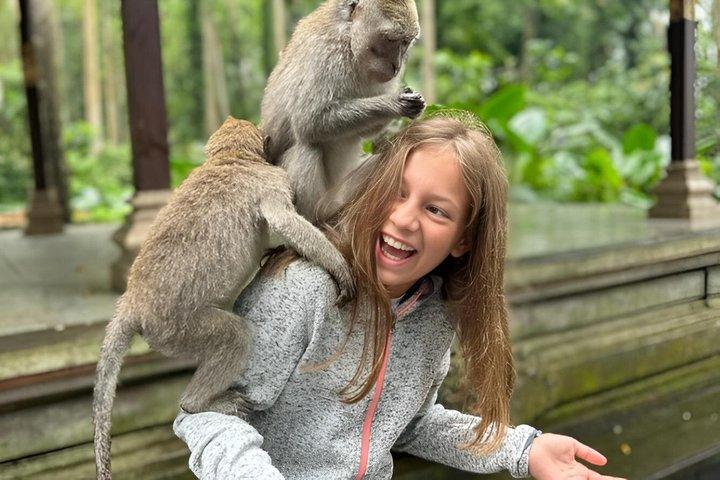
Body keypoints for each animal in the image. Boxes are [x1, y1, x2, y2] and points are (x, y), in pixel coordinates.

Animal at [92, 116, 355, 480]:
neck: (228, 159)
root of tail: (134, 302)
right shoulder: (271, 180)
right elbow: (283, 218)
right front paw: (338, 266)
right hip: (176, 329)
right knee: (234, 335)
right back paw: (198, 403)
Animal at [261, 0, 426, 222]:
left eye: (406, 42)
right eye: (391, 39)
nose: (396, 65)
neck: (351, 45)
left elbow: (365, 131)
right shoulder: (327, 54)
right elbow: (310, 121)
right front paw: (394, 102)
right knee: (306, 147)